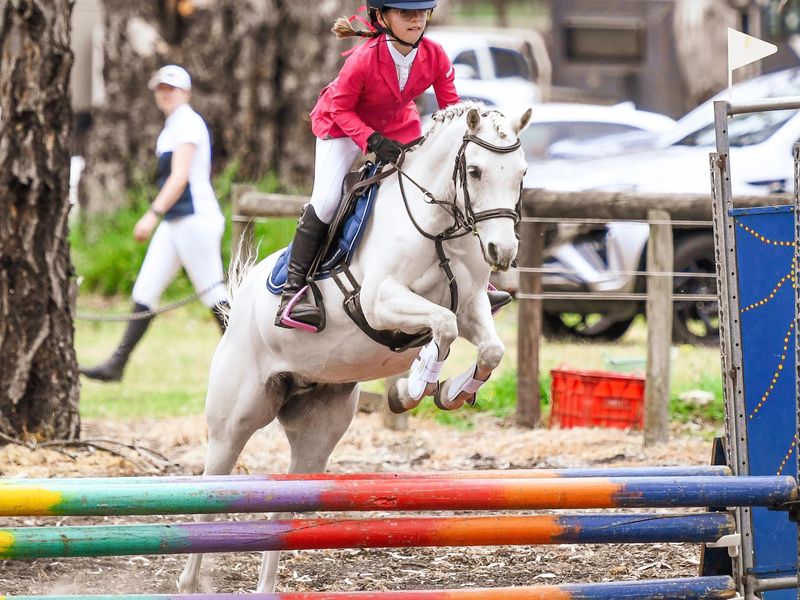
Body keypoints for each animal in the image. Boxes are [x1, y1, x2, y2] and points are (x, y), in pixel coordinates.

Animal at [177, 101, 532, 593]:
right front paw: (412, 388)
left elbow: (489, 349)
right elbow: (439, 329)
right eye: (475, 171)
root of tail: (241, 301)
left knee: (285, 503)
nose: (503, 251)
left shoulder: (473, 305)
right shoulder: (379, 302)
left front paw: (448, 392)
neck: (438, 229)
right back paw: (189, 583)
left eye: (521, 173)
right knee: (212, 488)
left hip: (318, 428)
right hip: (235, 418)